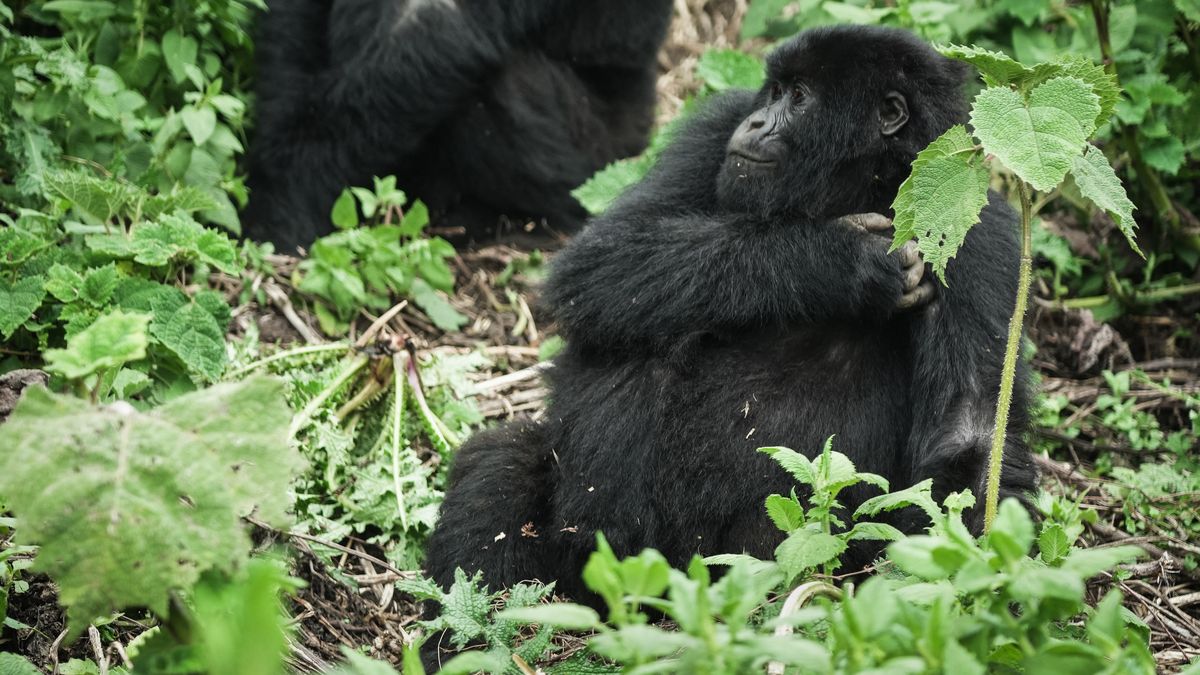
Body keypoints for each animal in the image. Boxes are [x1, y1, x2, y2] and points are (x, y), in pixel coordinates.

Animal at [424, 23, 1041, 595]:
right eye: (773, 91)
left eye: (799, 98)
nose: (757, 122)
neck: (865, 183)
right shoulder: (714, 129)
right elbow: (604, 258)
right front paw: (836, 262)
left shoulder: (980, 229)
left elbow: (970, 433)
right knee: (554, 409)